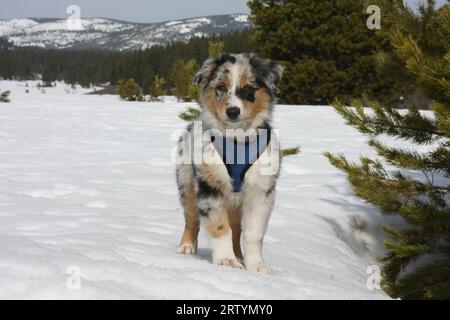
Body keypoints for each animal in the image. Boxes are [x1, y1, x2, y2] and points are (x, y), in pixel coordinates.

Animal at [175, 53, 282, 274]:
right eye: (220, 87)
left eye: (249, 88)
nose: (233, 111)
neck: (237, 139)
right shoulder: (210, 185)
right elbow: (219, 227)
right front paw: (226, 261)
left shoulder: (261, 191)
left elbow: (253, 233)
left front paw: (256, 265)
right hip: (186, 183)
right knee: (191, 218)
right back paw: (186, 247)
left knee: (236, 229)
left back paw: (239, 256)